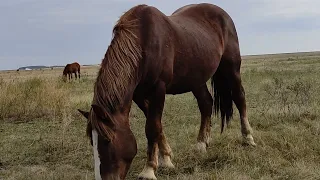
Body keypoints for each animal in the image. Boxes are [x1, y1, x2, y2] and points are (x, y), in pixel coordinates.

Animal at [79, 3, 256, 180]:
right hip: (196, 79)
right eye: (92, 142)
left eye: (107, 140)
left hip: (231, 68)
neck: (142, 42)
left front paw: (149, 170)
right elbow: (158, 126)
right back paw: (201, 144)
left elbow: (152, 128)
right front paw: (166, 159)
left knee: (240, 98)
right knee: (206, 104)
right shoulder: (139, 95)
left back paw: (248, 137)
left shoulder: (158, 88)